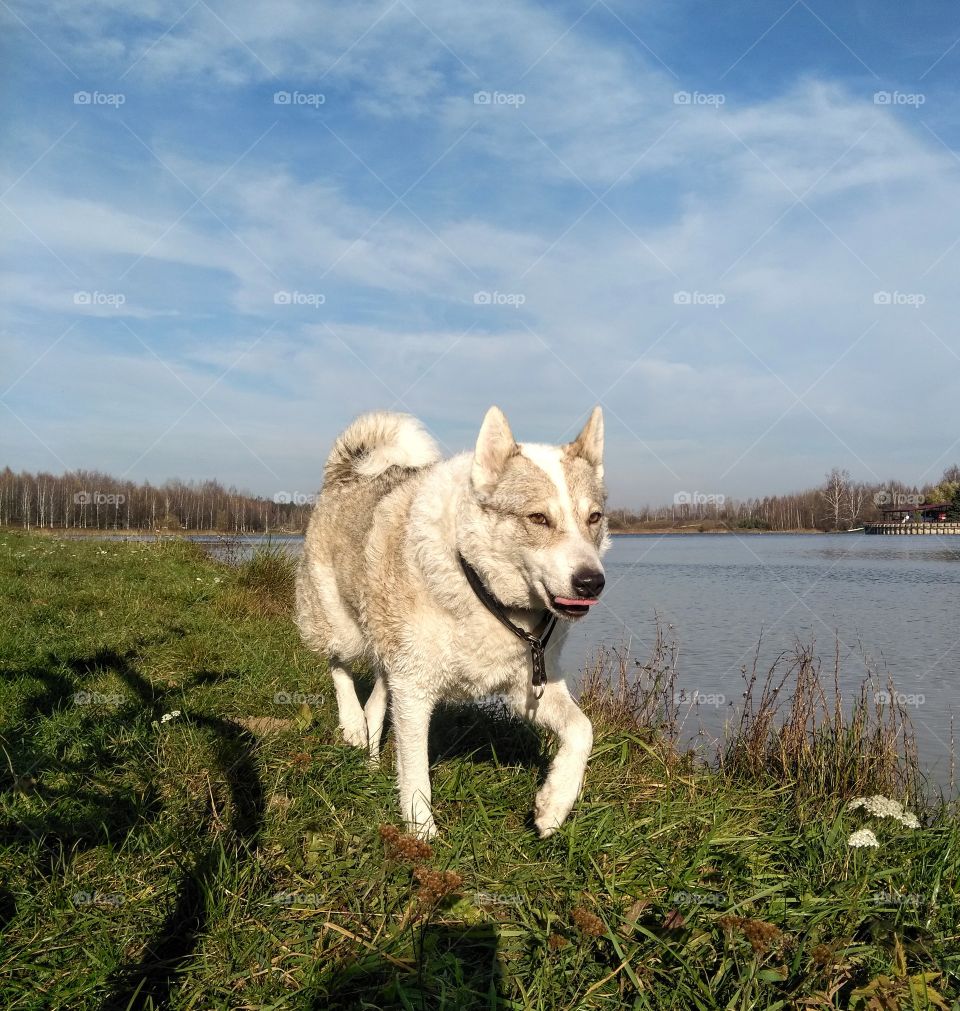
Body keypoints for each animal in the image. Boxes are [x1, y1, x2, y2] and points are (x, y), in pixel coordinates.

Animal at [295, 402, 610, 837]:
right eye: (538, 518)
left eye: (594, 518)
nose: (591, 582)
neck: (480, 585)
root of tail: (349, 474)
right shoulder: (414, 689)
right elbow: (415, 770)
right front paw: (421, 833)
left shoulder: (526, 687)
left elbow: (583, 730)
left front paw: (555, 803)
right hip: (343, 629)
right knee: (338, 664)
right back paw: (353, 724)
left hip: (388, 650)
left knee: (377, 697)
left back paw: (370, 760)